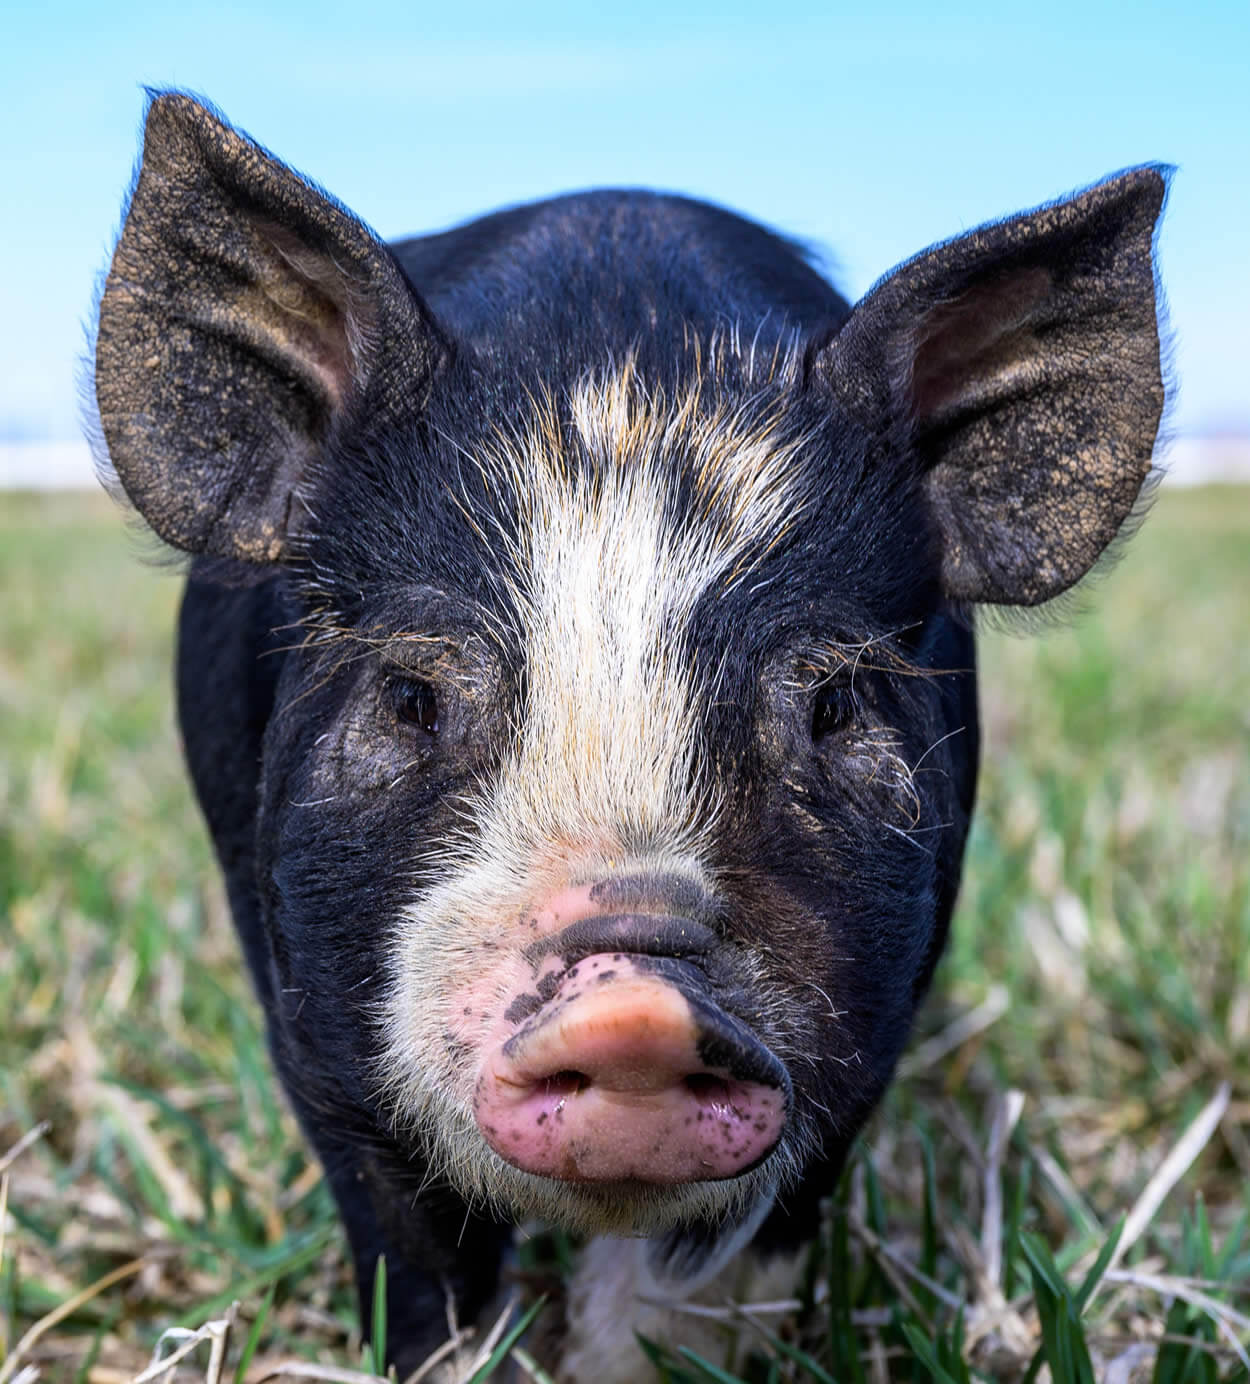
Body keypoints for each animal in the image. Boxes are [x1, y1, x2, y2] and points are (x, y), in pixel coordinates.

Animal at [92, 92, 1168, 1378]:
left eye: (832, 704)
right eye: (408, 694)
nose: (634, 1008)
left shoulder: (870, 1032)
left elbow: (695, 1283)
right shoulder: (310, 1020)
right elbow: (420, 1267)